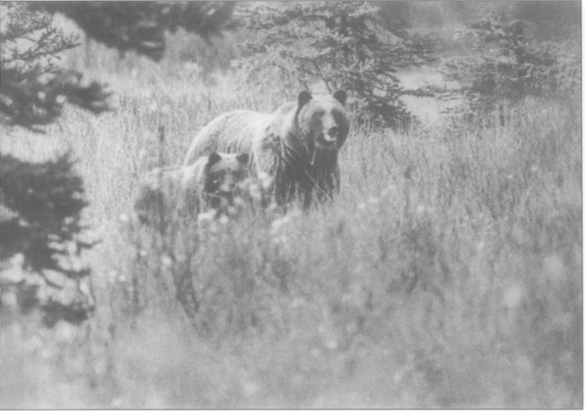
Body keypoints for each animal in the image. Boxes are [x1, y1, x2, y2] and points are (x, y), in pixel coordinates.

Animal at [184, 90, 346, 209]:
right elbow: (274, 193)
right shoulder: (276, 160)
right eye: (319, 113)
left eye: (336, 112)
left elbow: (326, 191)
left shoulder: (324, 166)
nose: (333, 129)